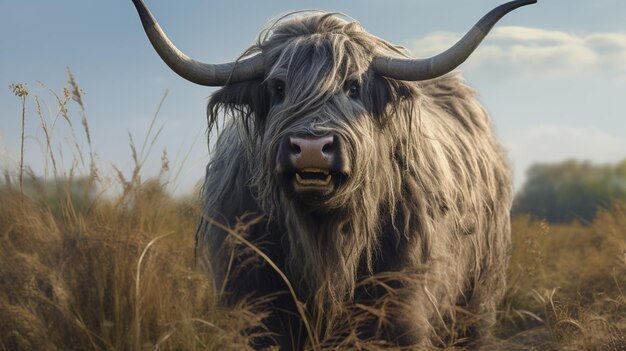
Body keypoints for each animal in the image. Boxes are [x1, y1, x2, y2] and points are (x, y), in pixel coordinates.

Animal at [132, 0, 532, 350]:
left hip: (478, 294)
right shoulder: (257, 301)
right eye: (279, 87)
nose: (311, 146)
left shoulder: (399, 306)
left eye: (353, 86)